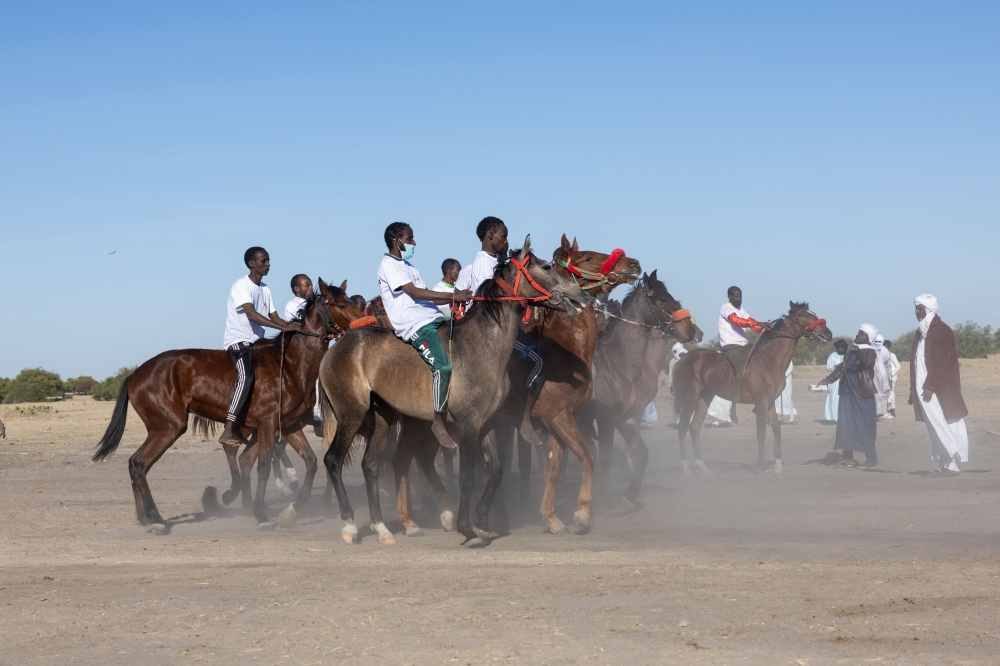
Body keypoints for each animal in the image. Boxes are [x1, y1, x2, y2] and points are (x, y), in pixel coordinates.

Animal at [93, 278, 368, 528]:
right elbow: (264, 465)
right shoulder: (268, 423)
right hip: (168, 427)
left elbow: (310, 462)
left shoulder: (289, 425)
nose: (366, 324)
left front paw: (293, 509)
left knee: (137, 463)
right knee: (139, 463)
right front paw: (261, 513)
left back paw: (146, 517)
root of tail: (136, 373)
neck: (291, 365)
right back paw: (156, 519)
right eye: (342, 305)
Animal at [390, 236, 640, 536]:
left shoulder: (555, 420)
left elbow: (553, 467)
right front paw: (580, 515)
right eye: (589, 258)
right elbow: (586, 458)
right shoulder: (559, 416)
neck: (566, 351)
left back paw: (440, 514)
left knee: (420, 458)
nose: (633, 264)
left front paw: (551, 518)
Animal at [580, 272, 704, 510]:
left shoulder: (624, 417)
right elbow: (606, 459)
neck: (615, 361)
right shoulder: (606, 419)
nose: (692, 331)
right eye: (663, 299)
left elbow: (642, 453)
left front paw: (629, 496)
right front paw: (604, 501)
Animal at [672, 300, 836, 472]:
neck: (769, 359)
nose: (828, 333)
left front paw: (777, 465)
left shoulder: (770, 402)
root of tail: (680, 362)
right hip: (689, 400)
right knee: (682, 428)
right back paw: (686, 468)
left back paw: (703, 468)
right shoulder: (761, 402)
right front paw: (760, 465)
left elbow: (777, 430)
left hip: (704, 399)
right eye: (806, 316)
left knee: (694, 428)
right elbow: (761, 433)